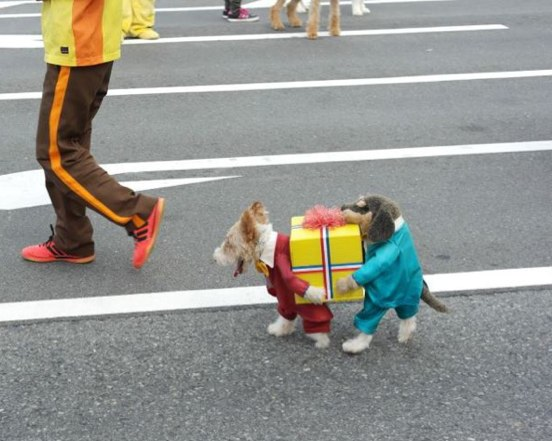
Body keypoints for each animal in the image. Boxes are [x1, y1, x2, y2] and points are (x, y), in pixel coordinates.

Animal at [213, 201, 334, 348]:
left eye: (229, 244)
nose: (214, 258)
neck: (265, 247)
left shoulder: (286, 289)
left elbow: (300, 311)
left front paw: (320, 338)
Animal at [332, 194, 448, 352]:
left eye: (364, 207)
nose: (342, 207)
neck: (395, 227)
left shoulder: (389, 251)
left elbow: (374, 266)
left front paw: (344, 283)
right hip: (407, 302)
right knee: (408, 316)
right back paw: (405, 334)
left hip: (375, 304)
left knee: (368, 322)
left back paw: (355, 345)